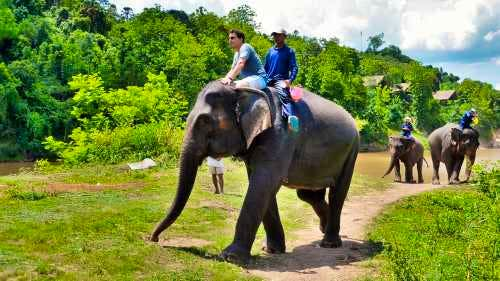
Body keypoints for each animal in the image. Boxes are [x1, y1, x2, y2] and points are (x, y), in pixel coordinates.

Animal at [149, 80, 360, 262]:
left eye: (205, 121)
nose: (154, 239)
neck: (241, 90)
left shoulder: (279, 134)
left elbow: (264, 183)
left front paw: (230, 257)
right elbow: (261, 185)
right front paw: (272, 250)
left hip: (352, 151)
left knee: (337, 193)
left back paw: (330, 243)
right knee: (308, 195)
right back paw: (323, 227)